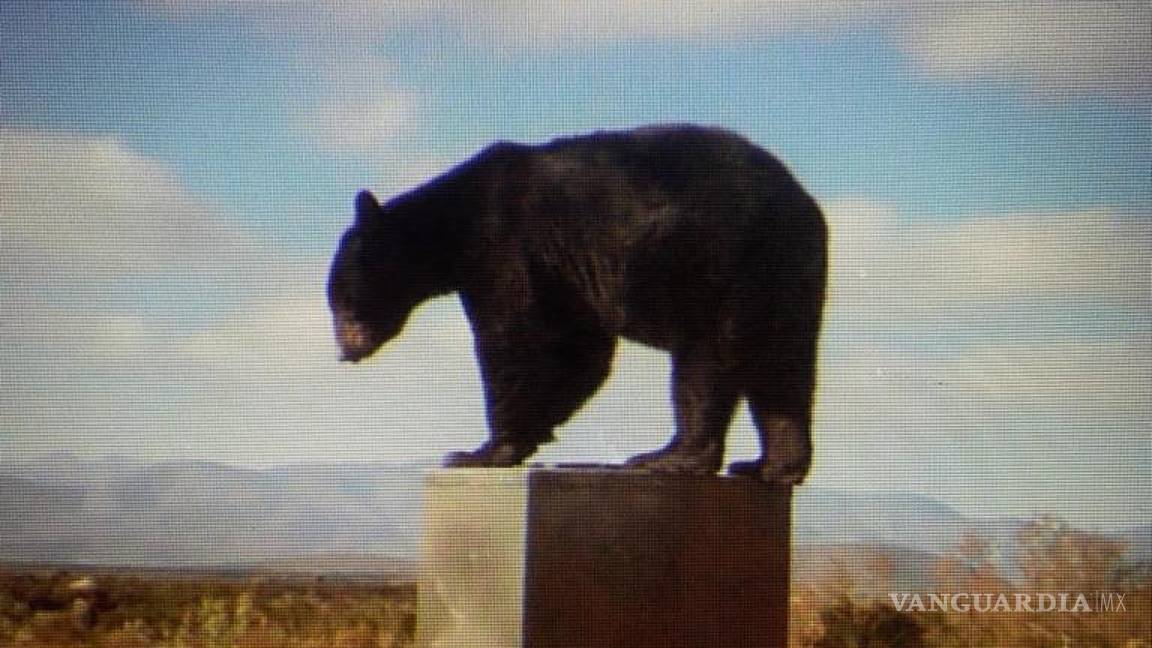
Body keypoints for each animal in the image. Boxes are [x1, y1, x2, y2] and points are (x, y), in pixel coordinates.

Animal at [327, 125, 826, 485]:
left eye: (340, 300)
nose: (344, 352)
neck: (449, 227)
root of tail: (801, 205)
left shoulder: (504, 248)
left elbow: (515, 339)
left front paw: (478, 451)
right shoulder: (565, 273)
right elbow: (577, 349)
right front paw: (526, 436)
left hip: (712, 264)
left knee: (705, 361)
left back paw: (668, 456)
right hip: (785, 284)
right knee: (785, 372)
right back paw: (771, 466)